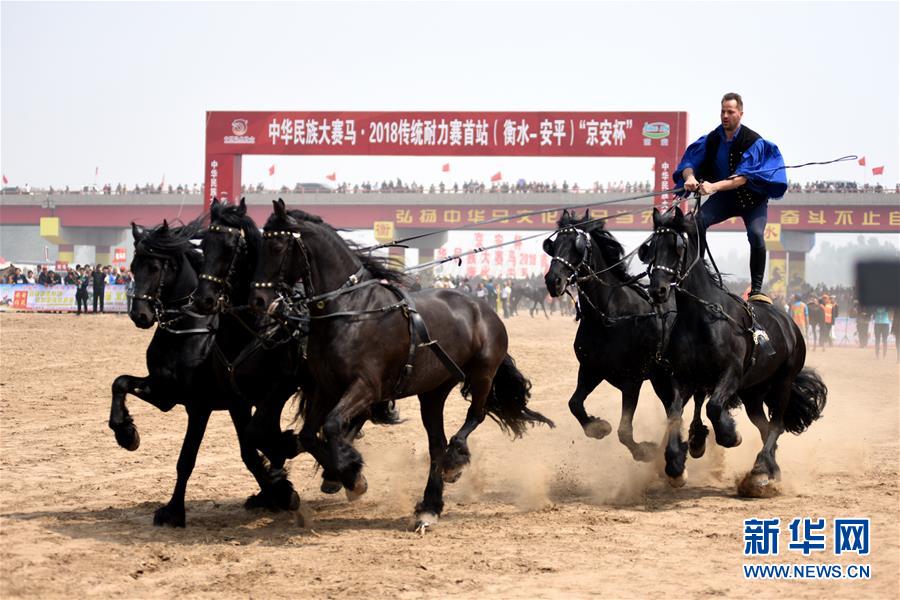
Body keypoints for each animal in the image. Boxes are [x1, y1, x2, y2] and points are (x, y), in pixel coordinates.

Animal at [108, 219, 298, 524]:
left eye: (156, 267)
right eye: (134, 265)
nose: (140, 315)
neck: (187, 334)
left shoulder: (207, 405)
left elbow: (203, 457)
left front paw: (280, 492)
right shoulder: (166, 393)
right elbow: (120, 383)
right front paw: (126, 433)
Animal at [250, 200, 552, 528]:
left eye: (277, 245)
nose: (258, 300)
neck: (353, 310)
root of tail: (482, 308)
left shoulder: (366, 387)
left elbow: (330, 425)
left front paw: (352, 476)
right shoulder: (326, 387)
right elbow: (309, 434)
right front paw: (347, 474)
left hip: (483, 373)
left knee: (475, 416)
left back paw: (453, 461)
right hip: (433, 390)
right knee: (436, 443)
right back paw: (430, 505)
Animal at [540, 209, 712, 466]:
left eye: (577, 245)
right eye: (554, 244)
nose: (553, 281)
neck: (610, 317)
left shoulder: (632, 379)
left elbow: (624, 431)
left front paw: (645, 451)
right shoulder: (591, 369)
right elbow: (574, 404)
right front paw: (598, 427)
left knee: (687, 403)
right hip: (661, 378)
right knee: (673, 406)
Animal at [644, 206, 828, 496]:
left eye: (677, 247)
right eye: (651, 247)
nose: (657, 290)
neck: (702, 317)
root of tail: (789, 324)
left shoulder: (731, 373)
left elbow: (714, 407)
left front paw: (729, 434)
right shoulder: (683, 377)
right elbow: (674, 413)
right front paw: (675, 465)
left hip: (782, 382)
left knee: (776, 425)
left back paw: (760, 472)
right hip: (754, 392)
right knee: (765, 427)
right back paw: (771, 469)